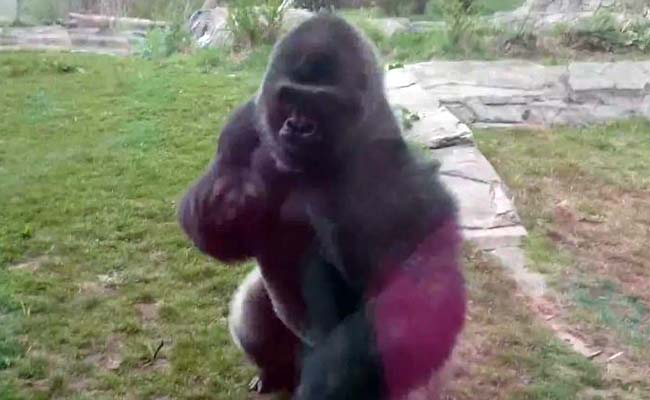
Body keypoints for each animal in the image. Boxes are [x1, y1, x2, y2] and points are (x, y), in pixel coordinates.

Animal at [180, 14, 464, 400]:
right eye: (288, 98)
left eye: (321, 104)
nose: (298, 127)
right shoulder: (244, 120)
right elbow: (220, 233)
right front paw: (226, 201)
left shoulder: (389, 162)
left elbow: (419, 285)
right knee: (250, 309)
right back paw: (271, 371)